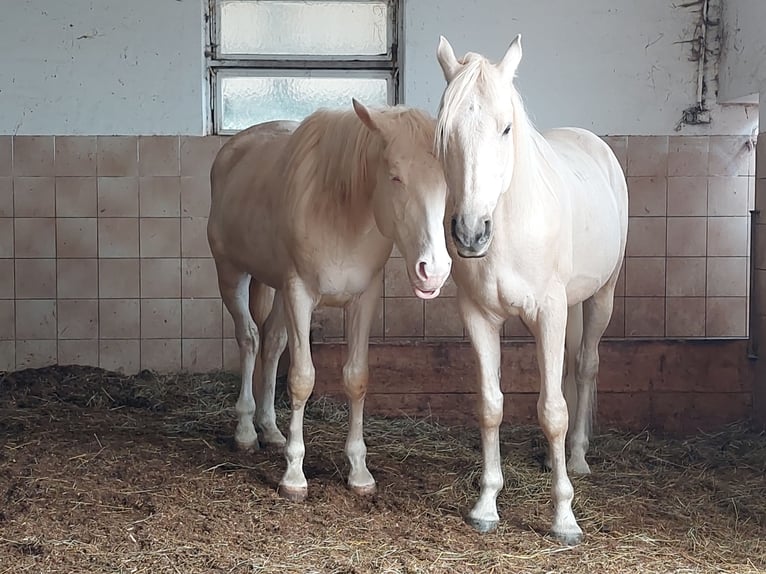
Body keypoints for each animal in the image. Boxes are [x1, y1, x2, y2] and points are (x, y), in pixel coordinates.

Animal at [207, 101, 452, 502]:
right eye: (395, 176)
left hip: (275, 286)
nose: (433, 270)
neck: (342, 212)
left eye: (446, 182)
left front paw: (359, 472)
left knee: (272, 344)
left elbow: (356, 377)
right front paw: (293, 476)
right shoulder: (299, 292)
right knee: (249, 339)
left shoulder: (363, 298)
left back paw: (269, 429)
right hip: (232, 274)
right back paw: (245, 431)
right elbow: (302, 379)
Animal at [438, 36, 632, 544]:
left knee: (584, 367)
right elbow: (492, 406)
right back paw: (551, 458)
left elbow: (554, 411)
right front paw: (486, 505)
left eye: (506, 127)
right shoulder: (479, 316)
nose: (470, 233)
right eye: (445, 131)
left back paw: (577, 458)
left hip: (600, 298)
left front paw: (564, 518)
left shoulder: (549, 311)